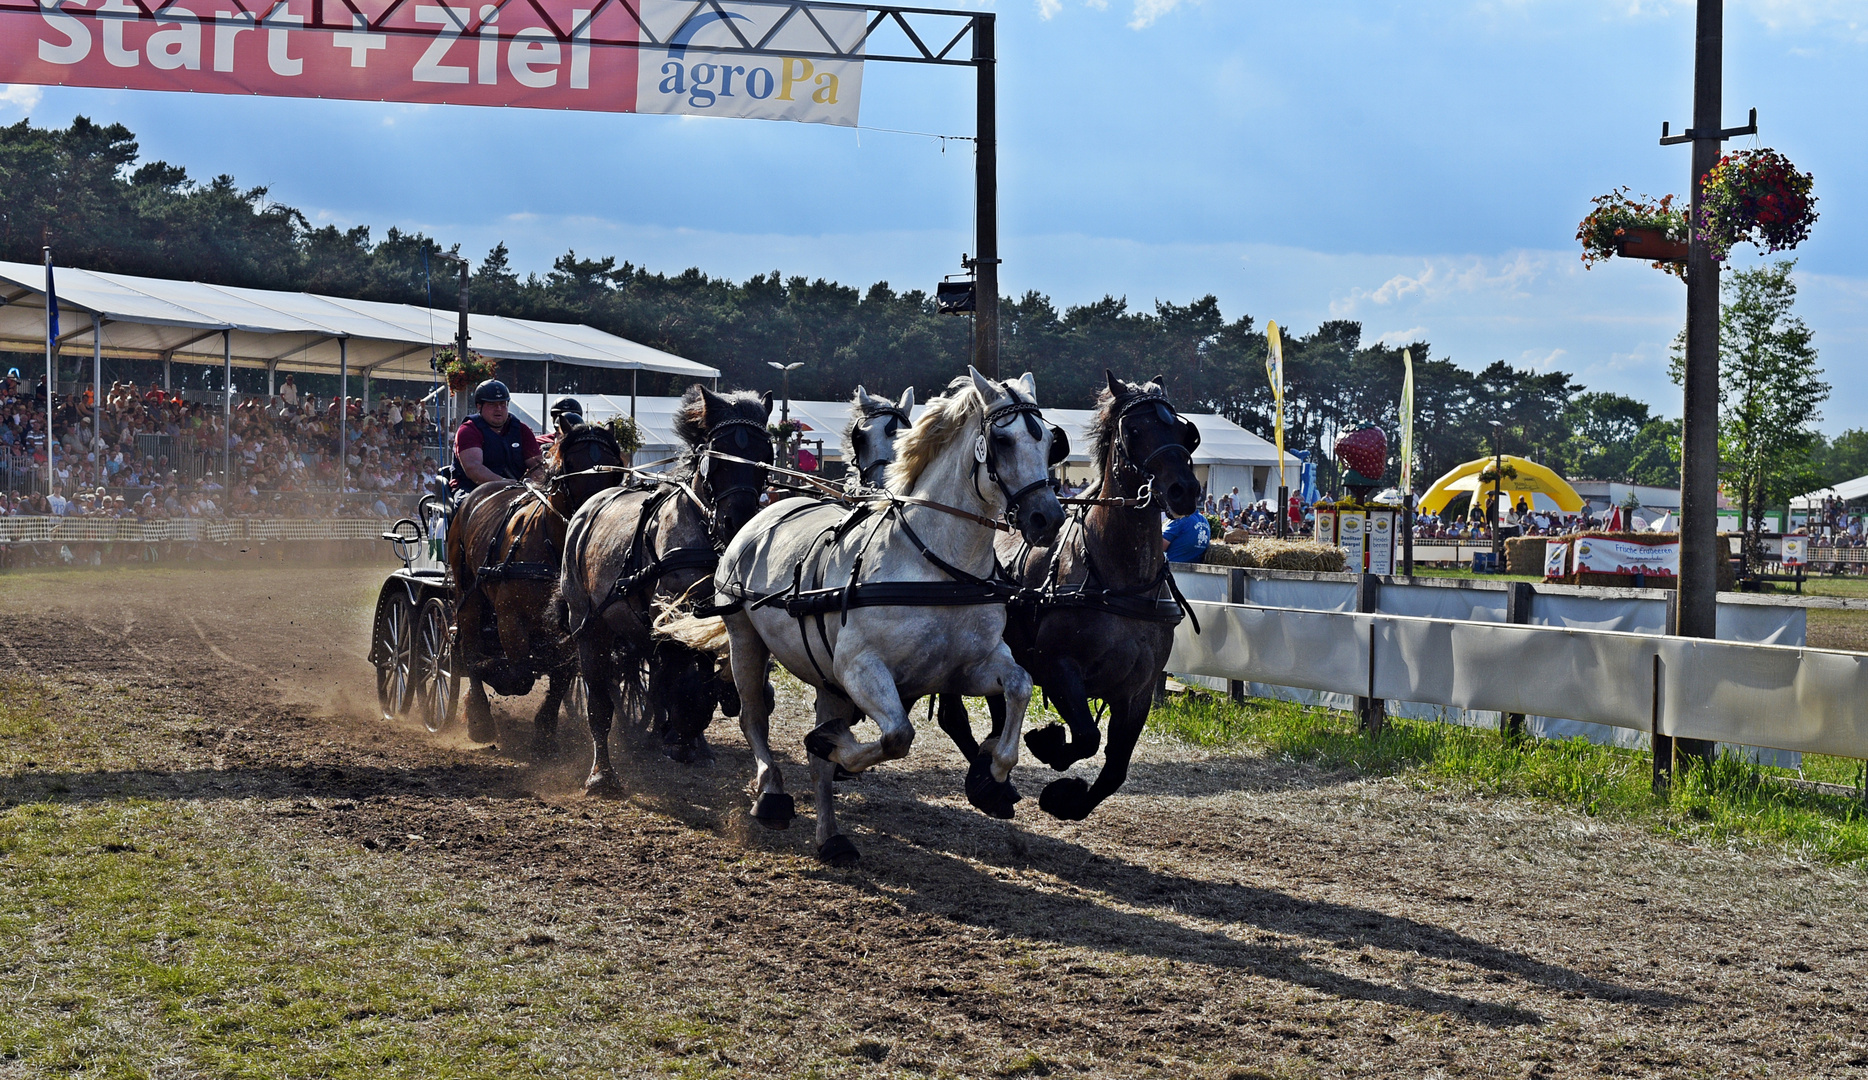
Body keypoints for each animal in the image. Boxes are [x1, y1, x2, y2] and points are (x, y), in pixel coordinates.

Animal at [444, 420, 627, 747]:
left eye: (615, 470)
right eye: (570, 466)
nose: (599, 518)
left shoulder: (575, 625)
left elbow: (562, 674)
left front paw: (544, 729)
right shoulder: (510, 616)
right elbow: (519, 675)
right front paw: (492, 671)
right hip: (469, 595)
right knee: (470, 648)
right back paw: (479, 719)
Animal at [672, 366, 1068, 863]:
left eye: (1049, 441)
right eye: (1002, 440)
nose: (1046, 518)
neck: (935, 564)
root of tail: (765, 511)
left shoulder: (962, 669)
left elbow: (1019, 686)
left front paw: (990, 778)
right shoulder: (860, 668)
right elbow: (897, 736)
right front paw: (835, 745)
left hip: (826, 678)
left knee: (816, 762)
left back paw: (831, 836)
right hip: (747, 639)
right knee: (753, 719)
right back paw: (771, 794)